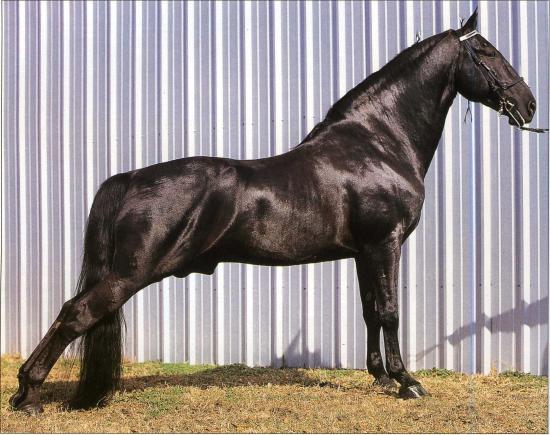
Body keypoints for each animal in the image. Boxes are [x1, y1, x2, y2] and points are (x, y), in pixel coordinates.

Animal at [10, 10, 539, 415]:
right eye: (488, 52)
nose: (530, 104)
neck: (379, 143)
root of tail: (130, 178)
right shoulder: (384, 243)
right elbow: (390, 311)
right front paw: (407, 381)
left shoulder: (364, 252)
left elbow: (370, 311)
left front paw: (381, 378)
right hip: (129, 273)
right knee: (75, 313)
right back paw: (27, 394)